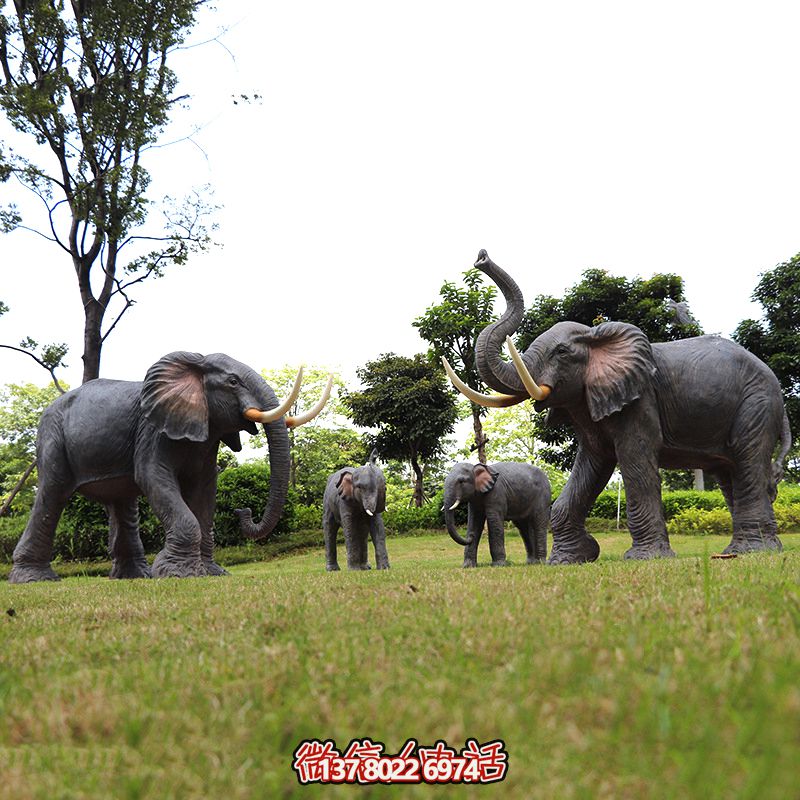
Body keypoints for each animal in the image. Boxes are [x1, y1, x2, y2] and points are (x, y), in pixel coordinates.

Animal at [10, 352, 328, 580]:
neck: (195, 365)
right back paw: (33, 579)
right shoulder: (152, 429)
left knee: (121, 502)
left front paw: (211, 573)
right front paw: (178, 573)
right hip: (52, 437)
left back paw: (135, 577)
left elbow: (204, 490)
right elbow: (153, 477)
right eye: (233, 382)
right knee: (52, 493)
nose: (243, 510)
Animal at [446, 248, 792, 564]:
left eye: (561, 352)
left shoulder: (640, 399)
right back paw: (752, 549)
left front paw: (645, 558)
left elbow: (634, 460)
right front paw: (571, 559)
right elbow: (592, 464)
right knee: (728, 471)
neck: (595, 336)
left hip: (757, 403)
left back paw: (750, 551)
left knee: (747, 460)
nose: (481, 257)